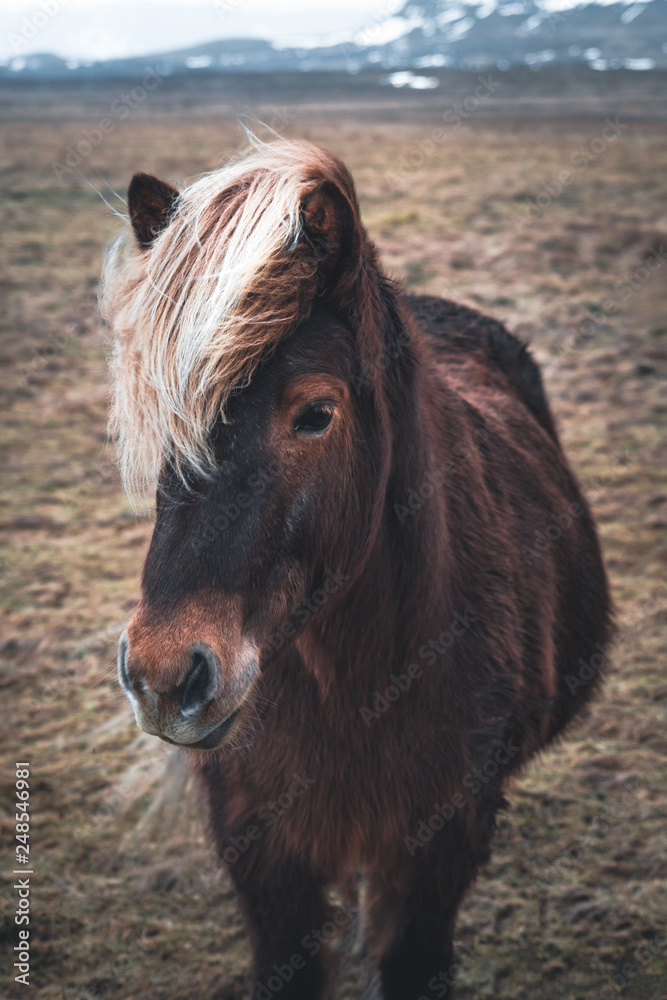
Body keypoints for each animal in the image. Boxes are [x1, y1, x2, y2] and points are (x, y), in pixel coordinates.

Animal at [102, 138, 612, 999]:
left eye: (315, 413)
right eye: (171, 416)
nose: (165, 677)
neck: (355, 686)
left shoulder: (436, 851)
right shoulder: (265, 864)